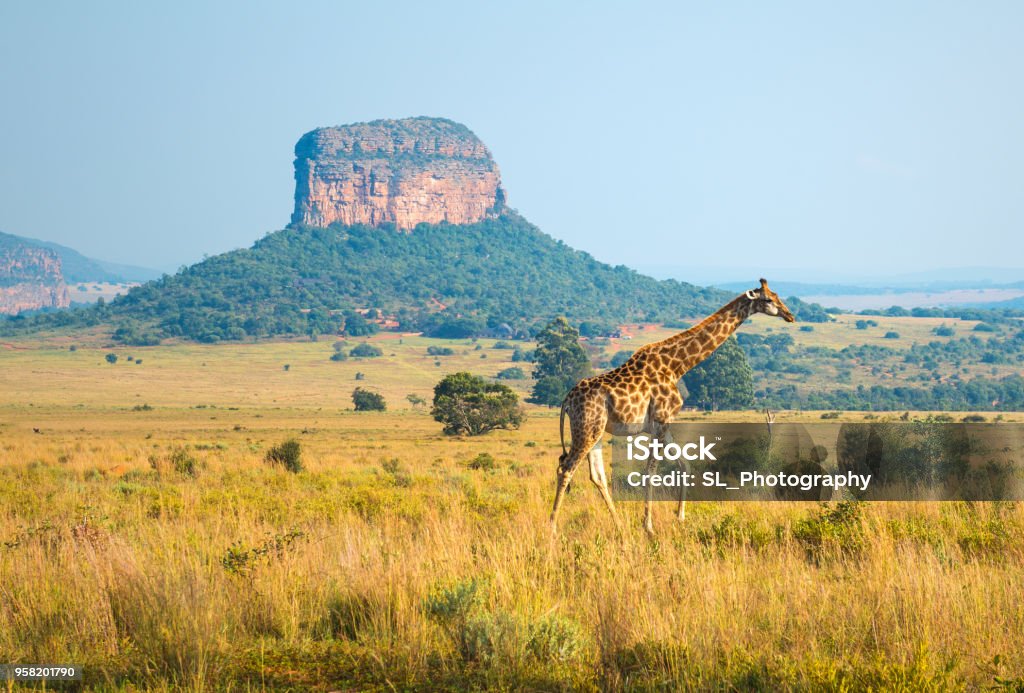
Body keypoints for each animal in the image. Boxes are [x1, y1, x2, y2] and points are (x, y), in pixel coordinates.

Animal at [548, 278, 794, 532]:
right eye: (768, 299)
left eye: (777, 296)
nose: (790, 315)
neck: (677, 366)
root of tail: (567, 400)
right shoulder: (661, 420)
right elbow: (651, 471)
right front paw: (648, 526)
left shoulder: (663, 426)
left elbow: (684, 464)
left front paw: (680, 516)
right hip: (587, 428)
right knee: (566, 468)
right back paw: (552, 527)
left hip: (595, 431)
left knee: (596, 475)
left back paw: (619, 525)